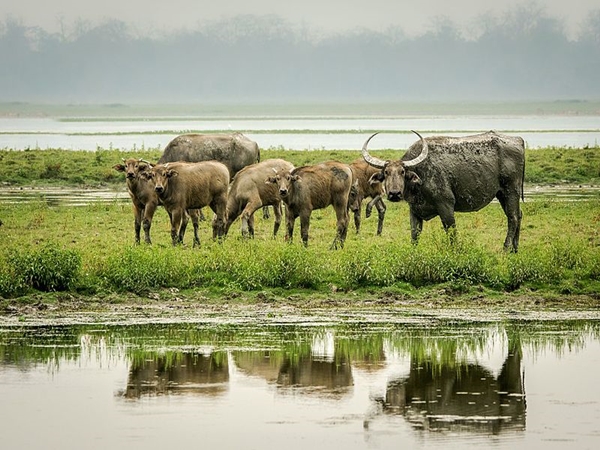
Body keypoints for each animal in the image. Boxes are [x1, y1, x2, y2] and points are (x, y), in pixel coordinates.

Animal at [360, 131, 524, 253]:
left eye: (402, 172)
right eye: (386, 172)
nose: (394, 194)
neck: (421, 176)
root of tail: (518, 140)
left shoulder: (446, 206)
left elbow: (451, 232)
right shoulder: (415, 210)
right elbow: (415, 234)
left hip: (511, 191)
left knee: (513, 217)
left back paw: (506, 248)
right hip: (501, 194)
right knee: (518, 215)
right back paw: (515, 248)